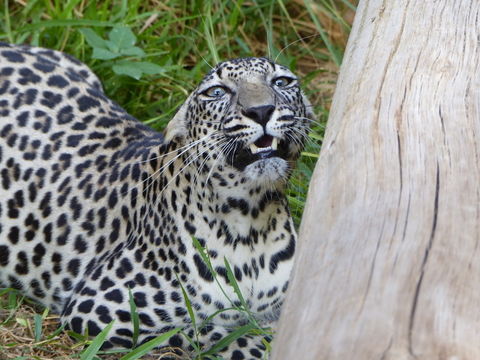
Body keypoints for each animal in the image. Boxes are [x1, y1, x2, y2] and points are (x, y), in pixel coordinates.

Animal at [0, 43, 314, 360]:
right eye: (217, 91)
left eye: (281, 82)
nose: (261, 110)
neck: (252, 222)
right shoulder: (99, 309)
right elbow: (207, 332)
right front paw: (260, 341)